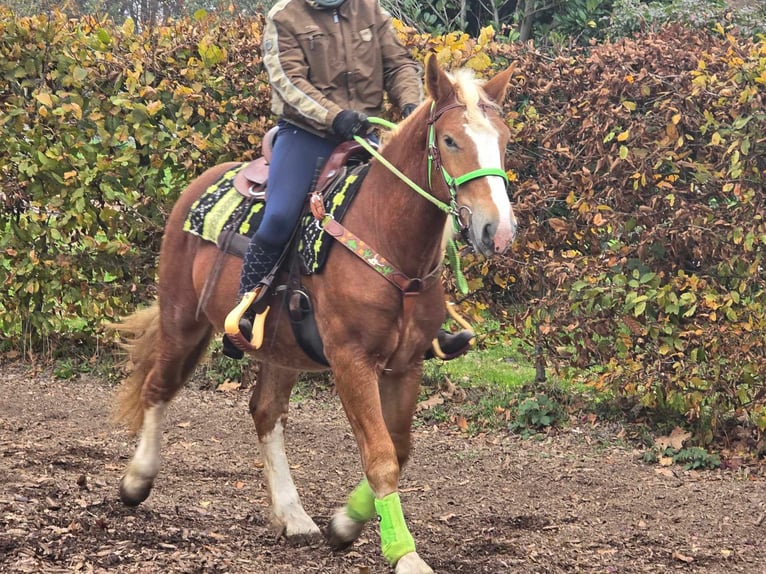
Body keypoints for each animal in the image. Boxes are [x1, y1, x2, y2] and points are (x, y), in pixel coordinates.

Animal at [112, 55, 516, 574]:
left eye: (502, 139)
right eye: (450, 140)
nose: (497, 231)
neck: (385, 234)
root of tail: (199, 186)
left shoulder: (407, 364)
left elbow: (399, 447)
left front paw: (344, 525)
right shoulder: (351, 361)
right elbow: (381, 455)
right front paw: (404, 553)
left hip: (280, 347)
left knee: (265, 413)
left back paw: (292, 515)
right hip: (182, 319)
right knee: (158, 388)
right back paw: (136, 480)